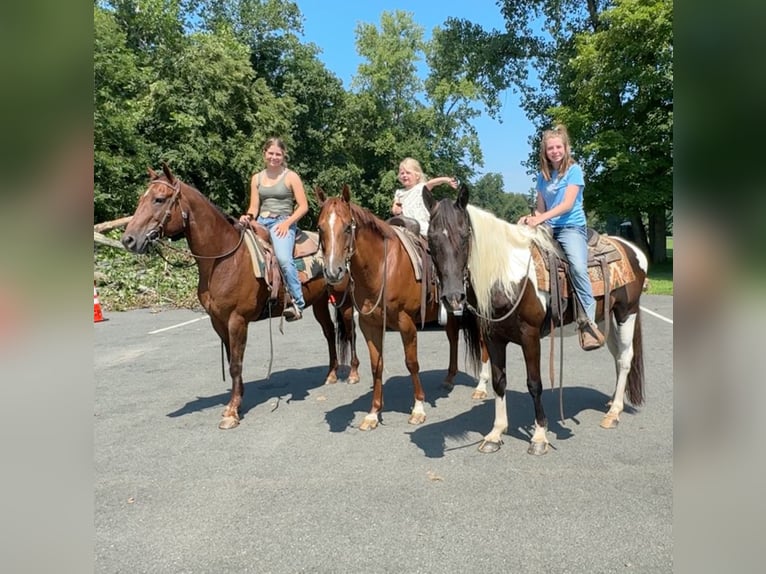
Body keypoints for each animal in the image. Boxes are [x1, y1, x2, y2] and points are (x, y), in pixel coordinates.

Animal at [121, 164, 362, 430]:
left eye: (159, 199)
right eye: (142, 199)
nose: (128, 239)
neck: (223, 259)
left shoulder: (237, 320)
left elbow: (236, 363)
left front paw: (232, 412)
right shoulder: (218, 321)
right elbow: (231, 361)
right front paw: (238, 399)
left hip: (344, 299)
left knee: (350, 330)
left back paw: (353, 373)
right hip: (319, 302)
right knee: (329, 332)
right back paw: (331, 374)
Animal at [316, 184, 488, 432]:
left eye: (348, 227)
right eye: (320, 228)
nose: (333, 271)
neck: (382, 267)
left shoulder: (406, 323)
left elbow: (412, 363)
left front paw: (418, 409)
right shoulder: (369, 325)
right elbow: (376, 365)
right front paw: (373, 413)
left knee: (483, 343)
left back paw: (482, 387)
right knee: (453, 337)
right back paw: (449, 378)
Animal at [426, 183, 648, 454]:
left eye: (465, 236)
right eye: (431, 239)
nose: (453, 298)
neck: (508, 277)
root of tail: (632, 250)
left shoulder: (530, 336)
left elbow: (534, 383)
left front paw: (540, 436)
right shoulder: (493, 337)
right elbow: (499, 381)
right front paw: (495, 433)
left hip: (627, 312)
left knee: (626, 358)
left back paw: (614, 413)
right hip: (605, 318)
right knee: (616, 355)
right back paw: (612, 401)